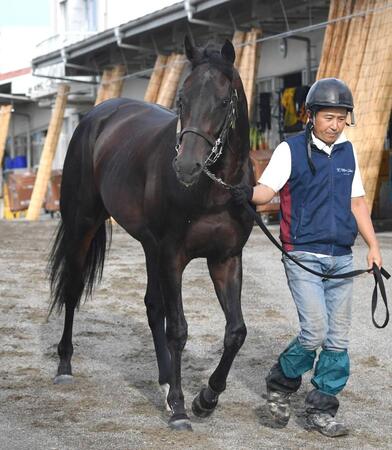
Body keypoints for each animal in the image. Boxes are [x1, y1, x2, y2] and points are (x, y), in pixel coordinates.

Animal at [49, 37, 254, 430]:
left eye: (224, 101)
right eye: (182, 99)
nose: (186, 167)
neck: (213, 190)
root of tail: (98, 116)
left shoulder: (225, 258)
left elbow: (236, 331)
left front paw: (206, 398)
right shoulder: (174, 256)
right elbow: (179, 329)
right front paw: (180, 408)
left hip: (149, 247)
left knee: (152, 306)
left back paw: (163, 381)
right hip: (84, 226)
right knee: (72, 288)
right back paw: (65, 365)